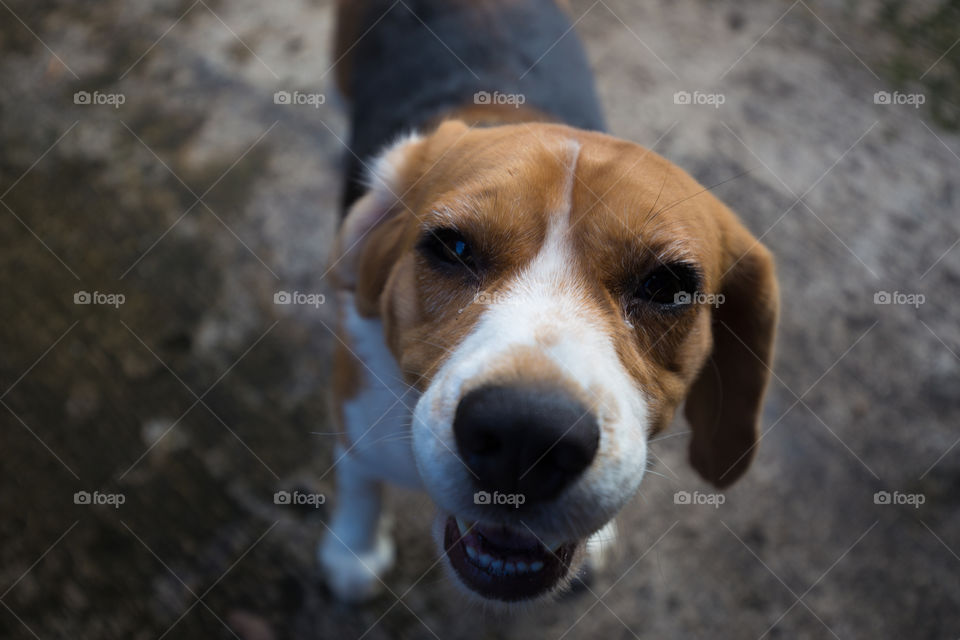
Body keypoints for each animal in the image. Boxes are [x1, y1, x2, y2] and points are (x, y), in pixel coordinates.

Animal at [318, 0, 776, 604]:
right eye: (452, 247)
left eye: (666, 286)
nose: (524, 435)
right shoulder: (354, 414)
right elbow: (360, 485)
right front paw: (353, 554)